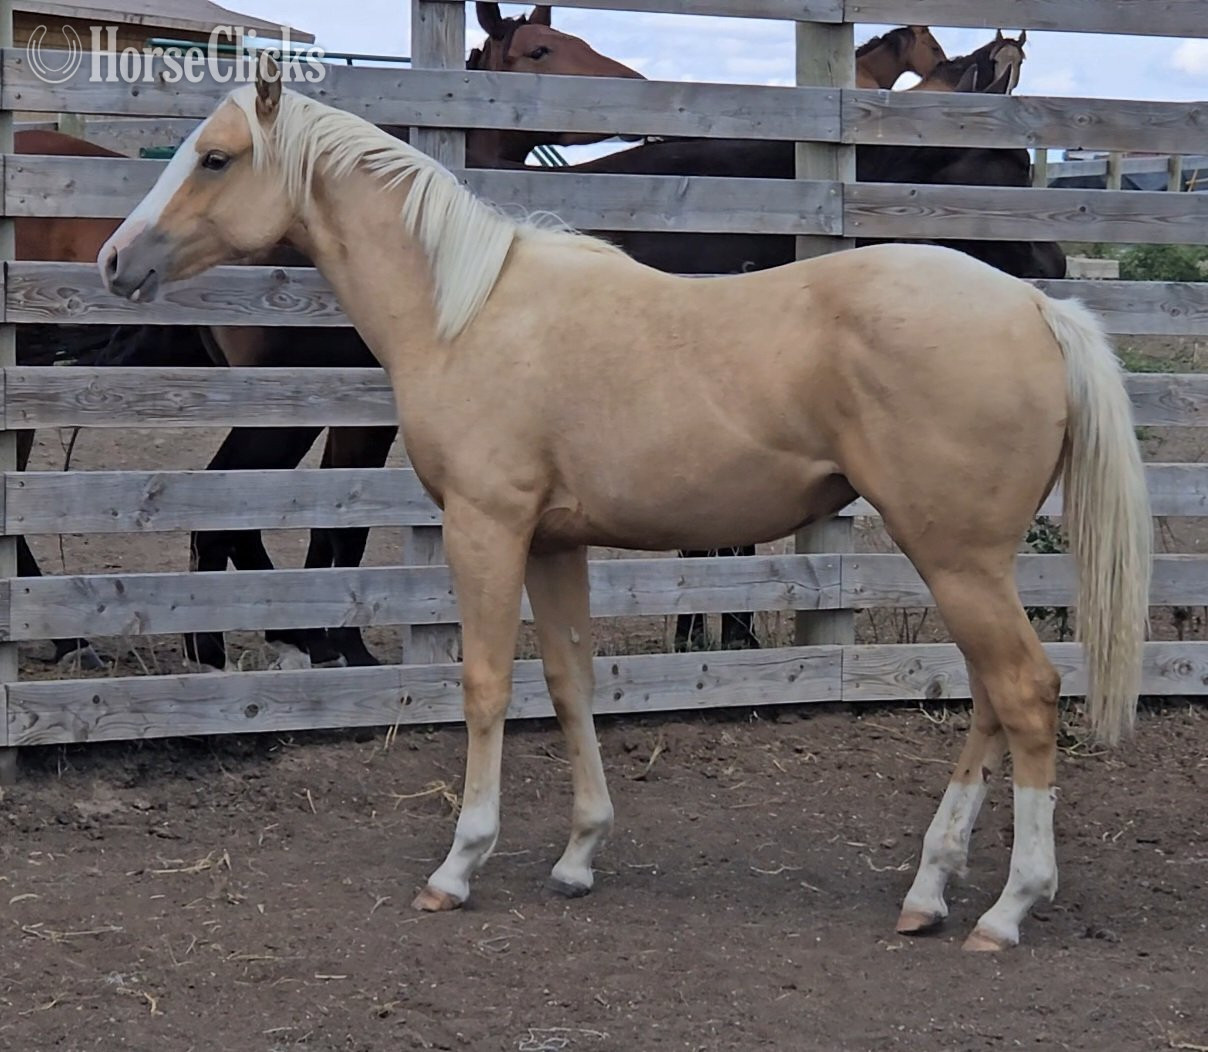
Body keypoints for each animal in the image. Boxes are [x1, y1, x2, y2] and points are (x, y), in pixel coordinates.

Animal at [18, 4, 642, 672]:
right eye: (540, 50)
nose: (631, 85)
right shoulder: (356, 417)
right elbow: (343, 519)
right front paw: (340, 642)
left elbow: (334, 513)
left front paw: (325, 636)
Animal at [99, 62, 1151, 952]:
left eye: (217, 157)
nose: (116, 262)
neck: (467, 310)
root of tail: (1035, 307)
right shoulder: (554, 545)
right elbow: (571, 685)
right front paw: (578, 856)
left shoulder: (486, 530)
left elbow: (485, 686)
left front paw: (459, 866)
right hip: (969, 562)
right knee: (991, 697)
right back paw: (930, 892)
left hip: (957, 558)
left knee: (1025, 693)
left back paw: (1008, 910)